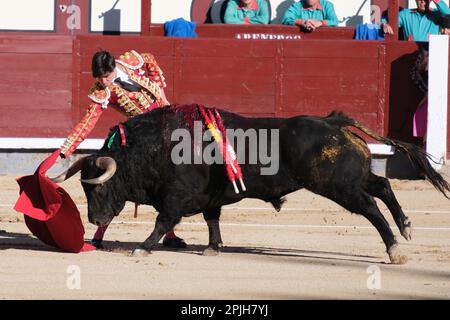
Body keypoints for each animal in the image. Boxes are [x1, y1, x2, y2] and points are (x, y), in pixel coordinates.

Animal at [51, 104, 450, 264]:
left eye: (98, 187)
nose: (93, 219)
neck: (153, 148)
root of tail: (332, 122)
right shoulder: (210, 198)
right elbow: (212, 220)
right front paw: (214, 248)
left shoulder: (176, 197)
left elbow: (163, 222)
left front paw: (142, 248)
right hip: (352, 177)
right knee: (381, 185)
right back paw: (406, 227)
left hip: (338, 186)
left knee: (370, 206)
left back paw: (395, 249)